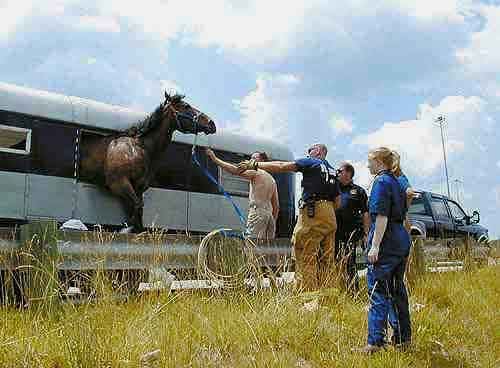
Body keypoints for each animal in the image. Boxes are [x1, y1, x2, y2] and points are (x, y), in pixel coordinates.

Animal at [80, 92, 217, 231]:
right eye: (186, 106)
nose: (211, 124)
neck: (137, 149)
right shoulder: (119, 183)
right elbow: (137, 206)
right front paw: (126, 228)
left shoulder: (139, 187)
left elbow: (138, 209)